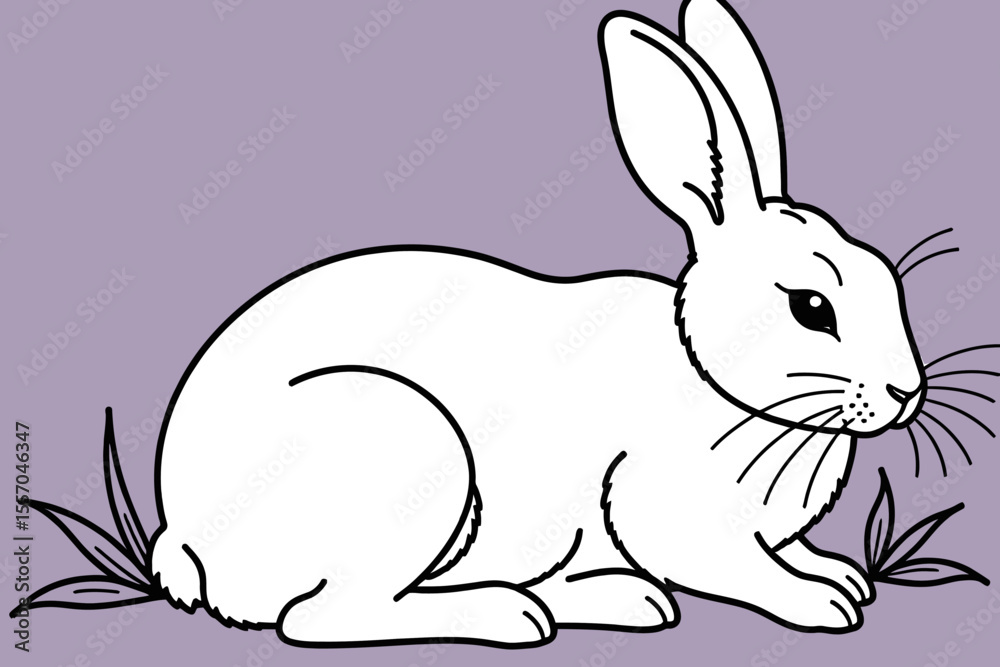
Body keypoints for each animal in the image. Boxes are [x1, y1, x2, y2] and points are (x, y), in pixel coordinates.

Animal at [149, 0, 926, 648]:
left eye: (886, 278)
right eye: (812, 308)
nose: (905, 393)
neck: (711, 377)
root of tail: (188, 537)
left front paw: (841, 573)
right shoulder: (670, 515)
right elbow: (738, 568)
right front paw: (822, 602)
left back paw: (616, 600)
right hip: (409, 452)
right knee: (322, 618)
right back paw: (517, 614)